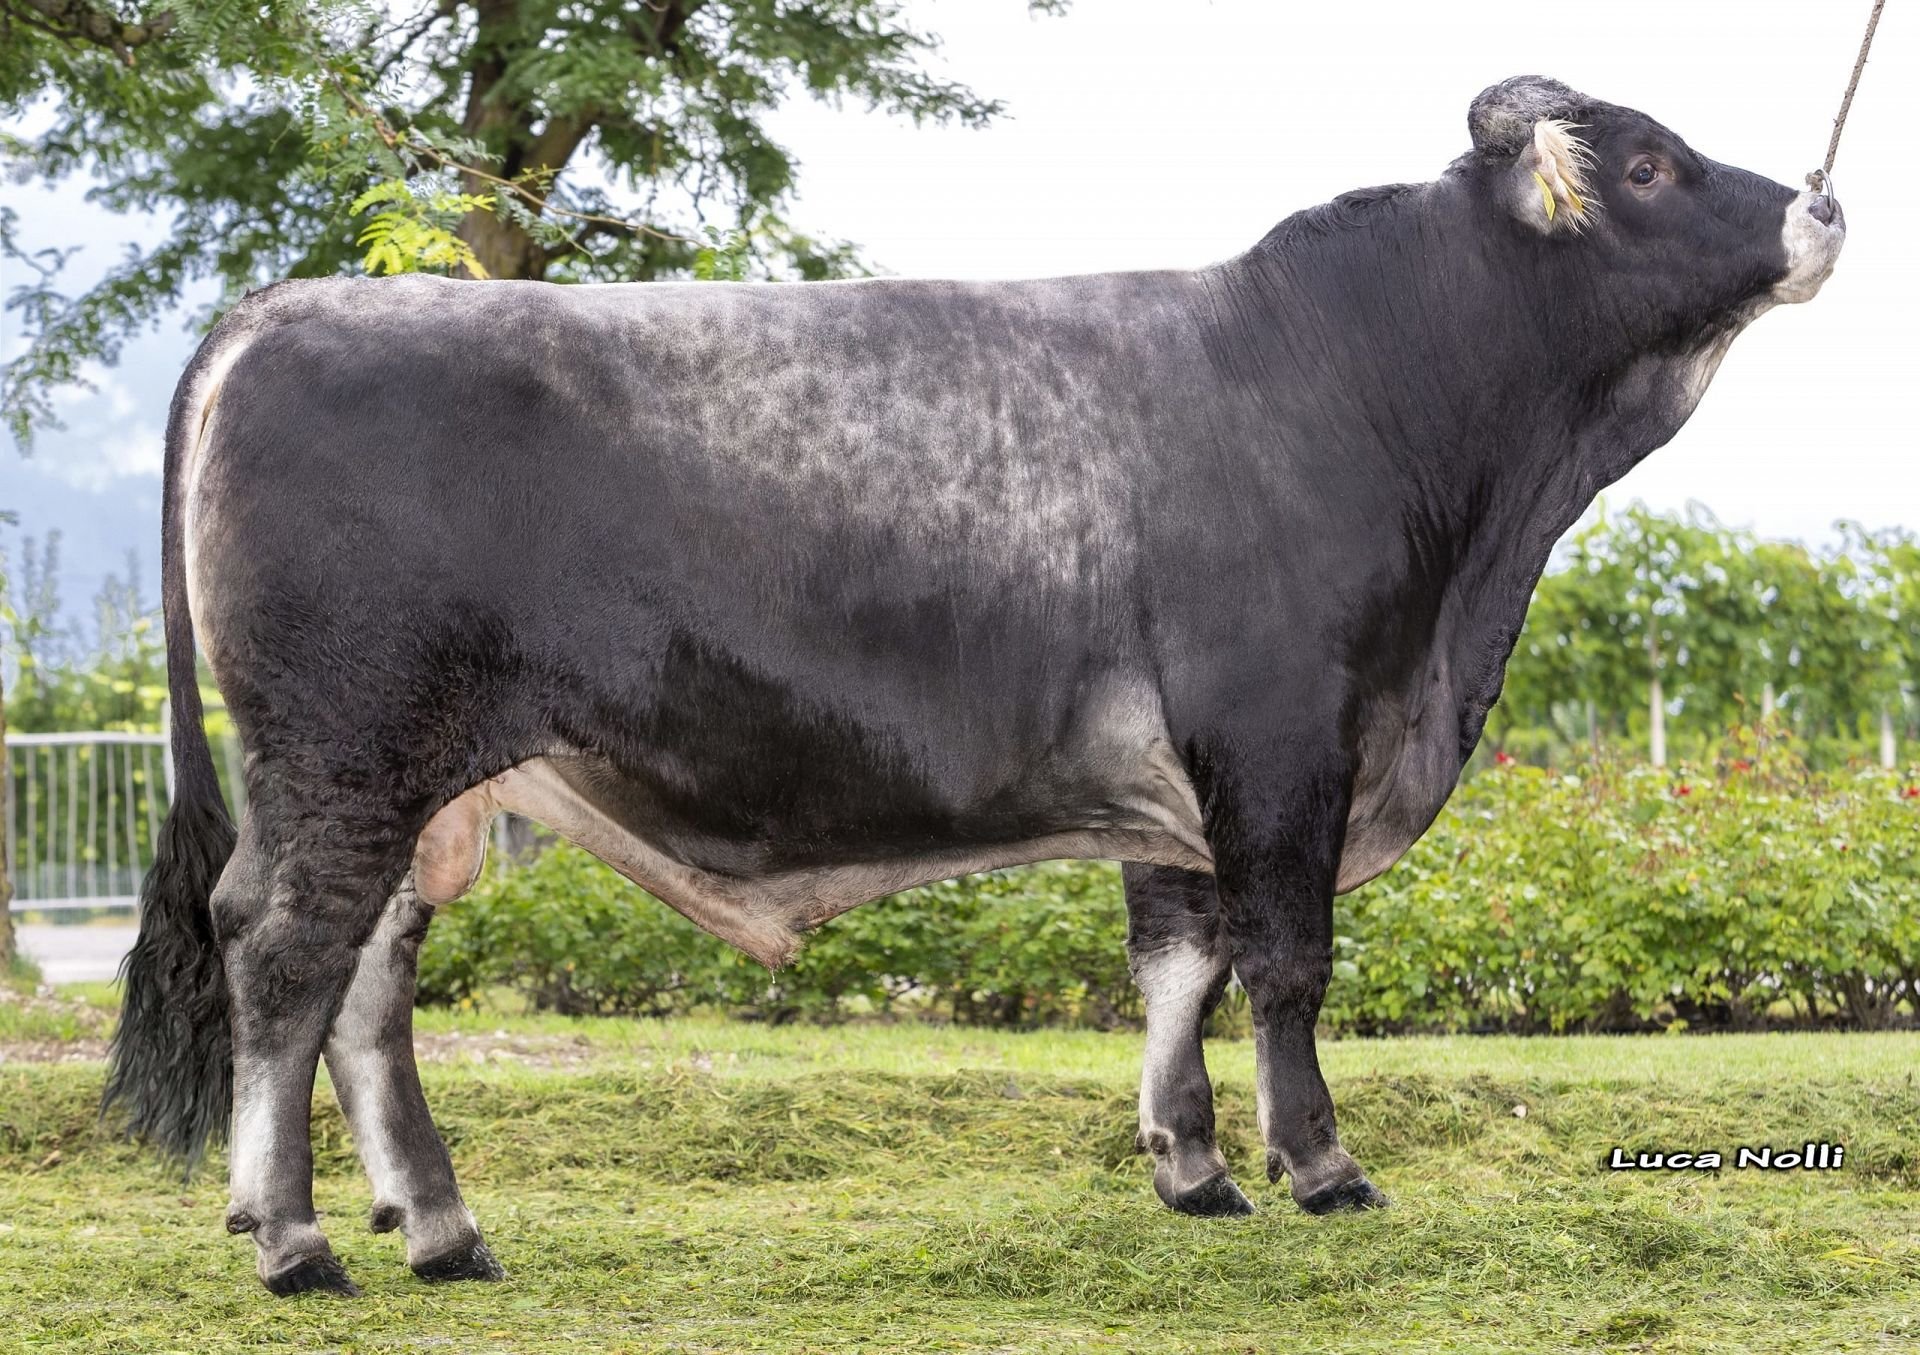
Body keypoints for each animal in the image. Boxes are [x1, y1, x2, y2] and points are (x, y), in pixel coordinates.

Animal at [105, 76, 1843, 1289]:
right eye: (1649, 165)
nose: (1821, 204)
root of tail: (289, 303)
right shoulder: (1283, 742)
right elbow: (1284, 965)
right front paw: (1323, 1165)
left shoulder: (1181, 793)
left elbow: (1178, 966)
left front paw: (1193, 1168)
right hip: (346, 754)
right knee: (284, 951)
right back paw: (290, 1234)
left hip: (420, 788)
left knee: (368, 980)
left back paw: (440, 1224)